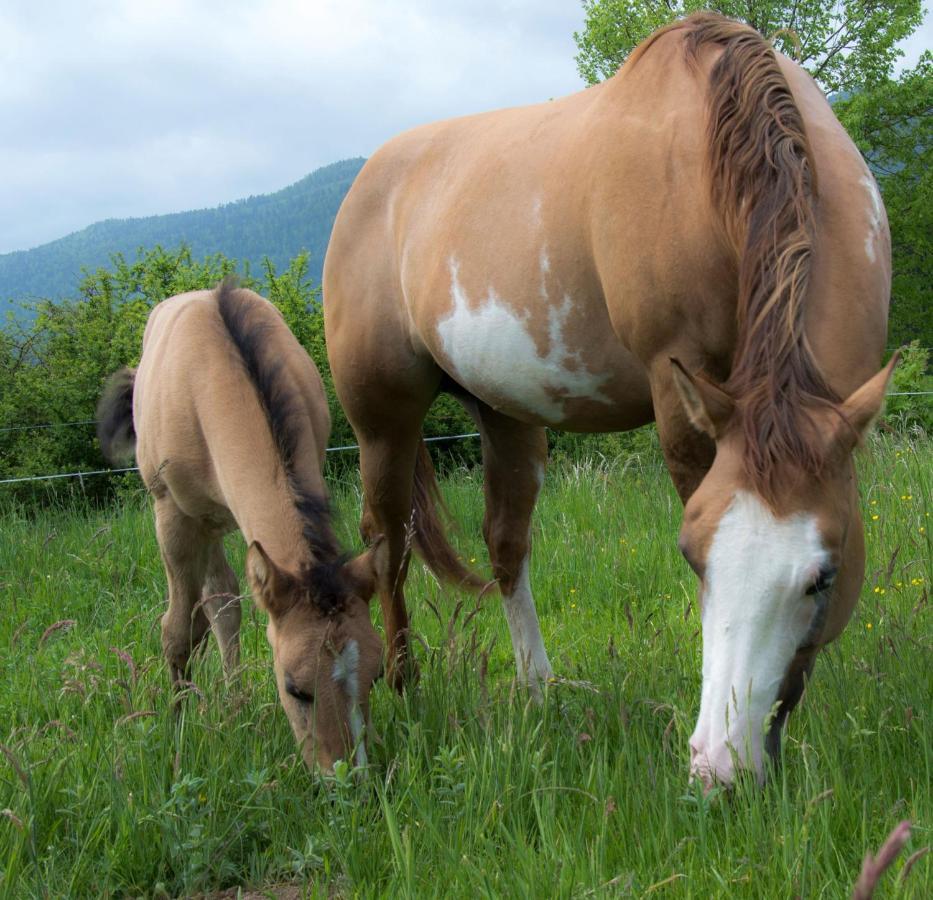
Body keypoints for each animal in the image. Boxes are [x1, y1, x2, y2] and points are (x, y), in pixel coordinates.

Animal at [98, 284, 382, 772]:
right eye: (294, 688)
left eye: (376, 676)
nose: (348, 776)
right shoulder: (173, 516)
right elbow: (178, 631)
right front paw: (177, 729)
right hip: (200, 521)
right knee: (214, 603)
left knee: (222, 602)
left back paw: (233, 702)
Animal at [322, 15, 896, 788]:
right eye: (692, 557)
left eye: (823, 577)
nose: (719, 767)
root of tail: (368, 180)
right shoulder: (680, 396)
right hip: (383, 422)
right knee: (388, 544)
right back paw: (405, 687)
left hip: (507, 417)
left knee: (505, 544)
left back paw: (538, 690)